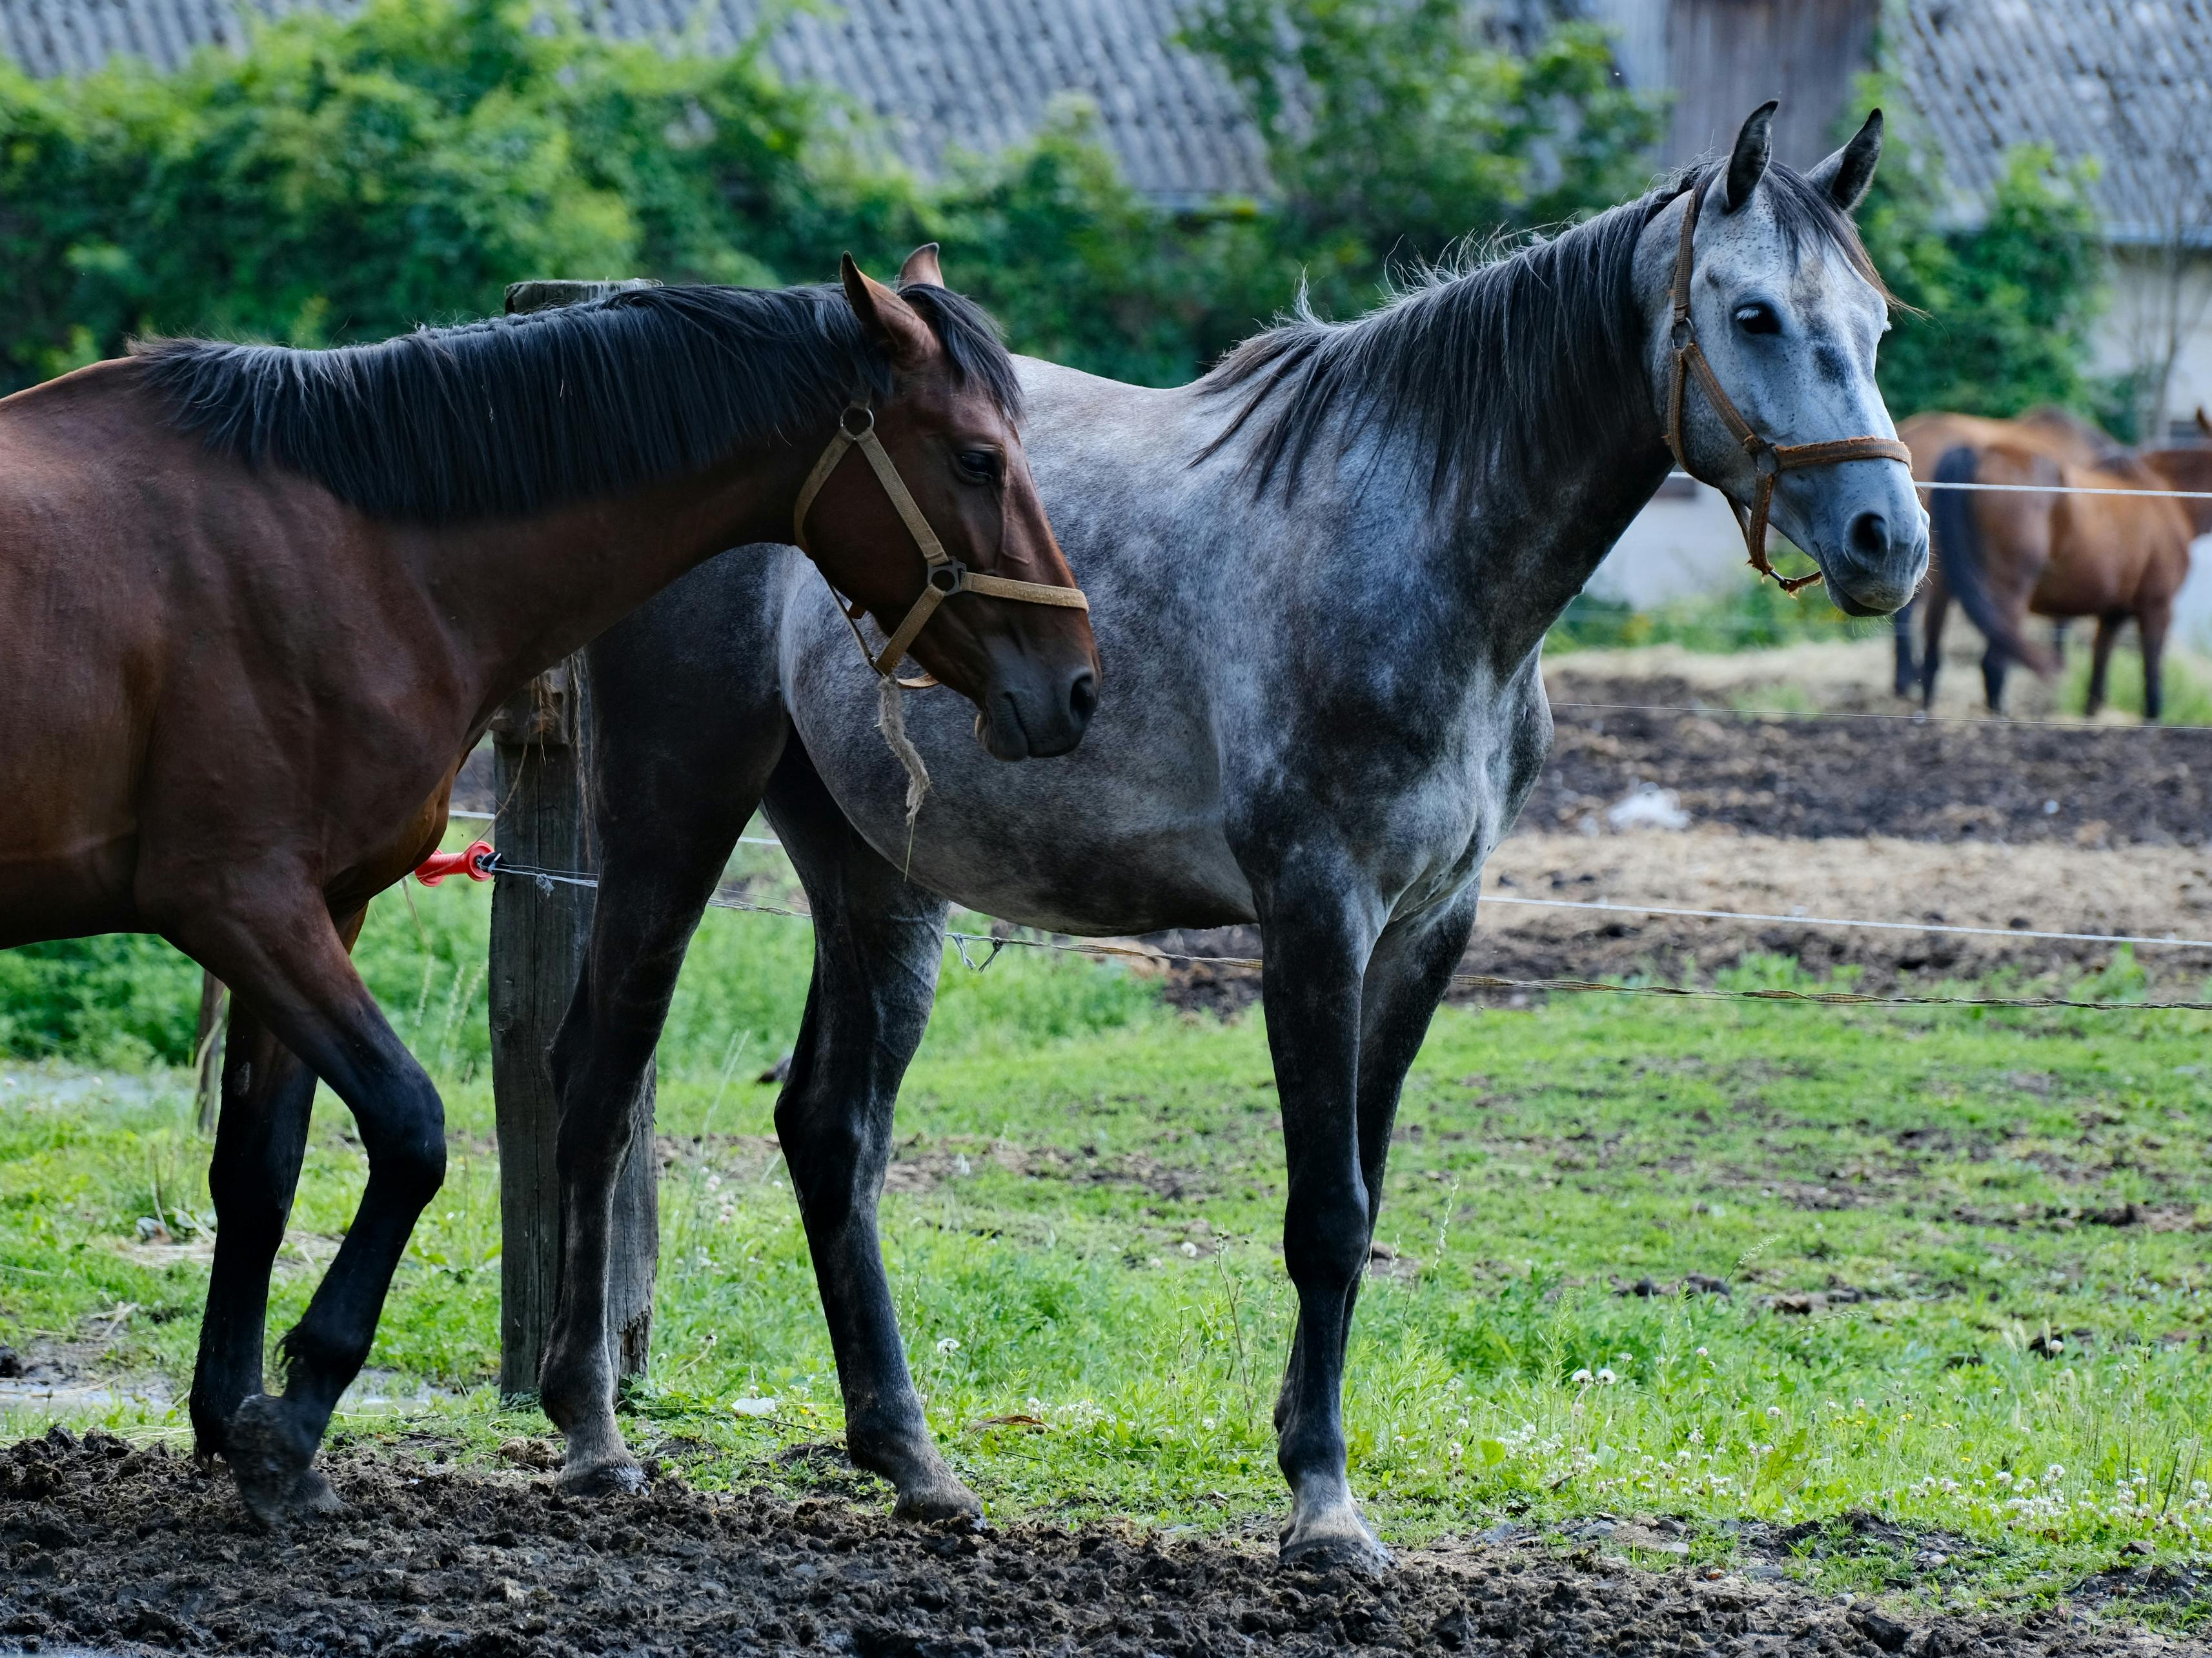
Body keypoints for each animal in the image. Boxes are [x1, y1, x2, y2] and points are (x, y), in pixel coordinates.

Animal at [0, 250, 1099, 1525]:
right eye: (976, 457)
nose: (1075, 685)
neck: (346, 547)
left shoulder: (318, 907)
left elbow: (261, 1169)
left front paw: (237, 1421)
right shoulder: (239, 900)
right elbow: (412, 1130)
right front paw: (298, 1408)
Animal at [539, 103, 1926, 1569]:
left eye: (1875, 322)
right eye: (1754, 314)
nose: (1886, 541)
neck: (1419, 549)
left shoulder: (1431, 925)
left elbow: (1362, 1198)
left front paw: (1307, 1454)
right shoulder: (1315, 912)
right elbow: (1326, 1213)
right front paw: (1321, 1501)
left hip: (878, 873)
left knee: (830, 1130)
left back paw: (910, 1455)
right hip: (673, 811)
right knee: (599, 1078)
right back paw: (590, 1426)